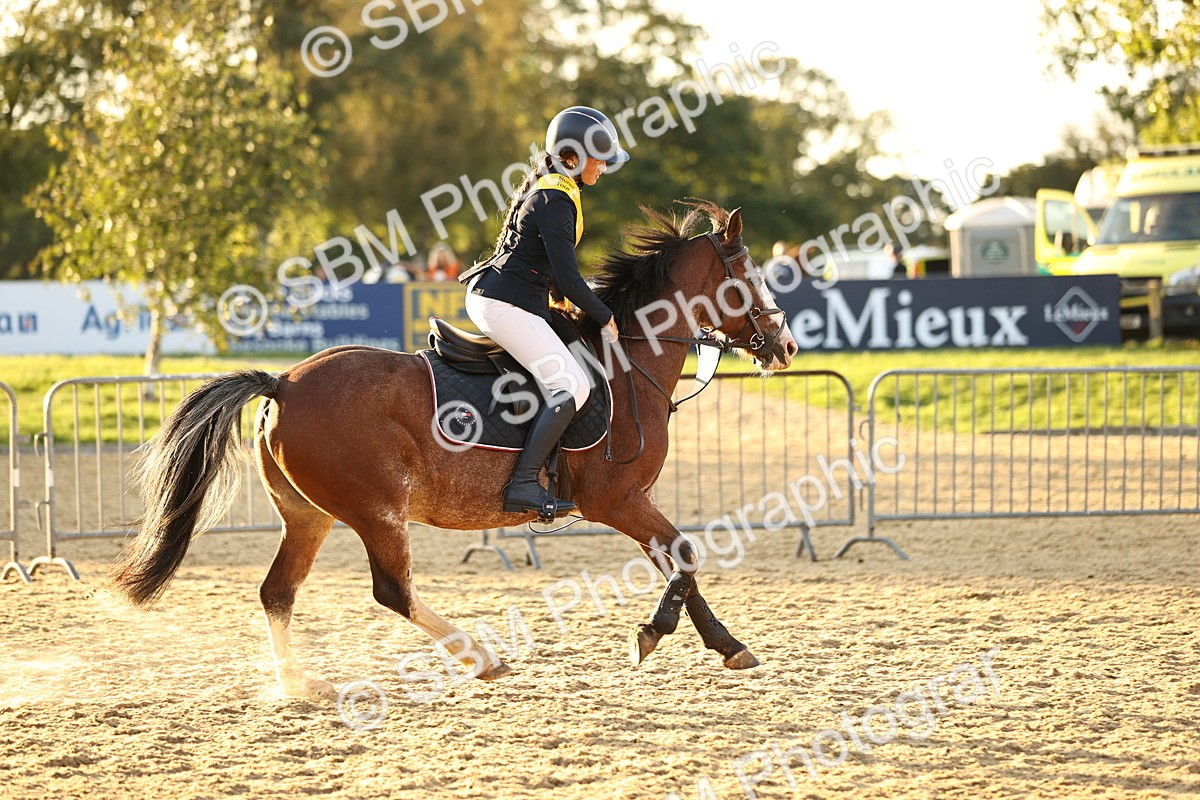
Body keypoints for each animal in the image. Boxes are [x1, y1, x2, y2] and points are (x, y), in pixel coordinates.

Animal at [111, 200, 799, 699]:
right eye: (748, 278)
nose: (786, 347)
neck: (628, 360)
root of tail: (284, 381)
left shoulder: (633, 500)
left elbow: (681, 563)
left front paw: (727, 645)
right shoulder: (616, 499)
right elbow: (683, 555)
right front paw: (654, 634)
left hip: (309, 514)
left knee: (278, 592)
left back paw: (297, 685)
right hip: (376, 509)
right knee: (392, 590)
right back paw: (482, 657)